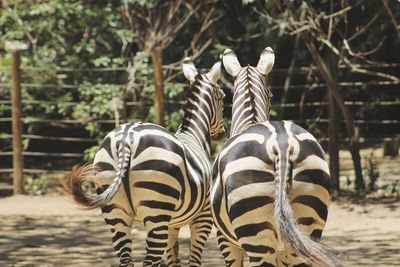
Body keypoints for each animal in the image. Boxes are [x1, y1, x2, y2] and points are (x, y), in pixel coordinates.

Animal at [62, 59, 225, 267]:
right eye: (222, 97)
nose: (222, 135)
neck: (193, 136)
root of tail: (126, 138)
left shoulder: (172, 223)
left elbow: (174, 259)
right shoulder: (203, 217)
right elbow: (194, 260)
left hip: (116, 211)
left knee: (126, 259)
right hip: (157, 208)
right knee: (150, 261)